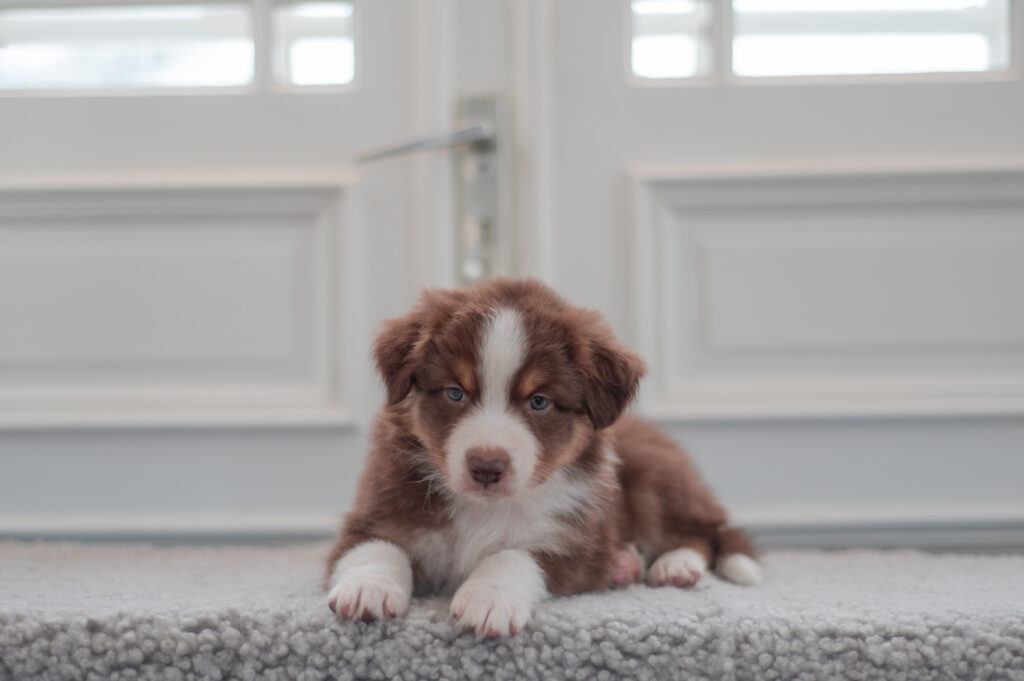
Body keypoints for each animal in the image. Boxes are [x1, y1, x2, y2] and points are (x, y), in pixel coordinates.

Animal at [326, 278, 761, 637]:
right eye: (455, 392)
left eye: (539, 401)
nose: (486, 467)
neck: (484, 508)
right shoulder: (376, 507)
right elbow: (376, 546)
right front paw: (367, 588)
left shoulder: (579, 545)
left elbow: (513, 554)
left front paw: (488, 600)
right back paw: (630, 566)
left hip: (655, 476)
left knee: (702, 533)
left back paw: (675, 566)